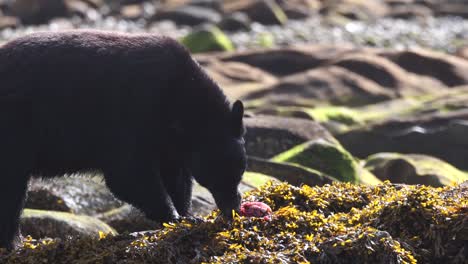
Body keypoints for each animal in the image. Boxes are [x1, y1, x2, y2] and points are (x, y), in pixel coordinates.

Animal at [0, 31, 247, 250]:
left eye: (240, 171)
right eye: (216, 173)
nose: (232, 210)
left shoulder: (167, 142)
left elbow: (175, 177)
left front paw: (188, 215)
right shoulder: (131, 115)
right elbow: (127, 174)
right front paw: (175, 217)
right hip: (16, 130)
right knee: (12, 189)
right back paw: (14, 243)